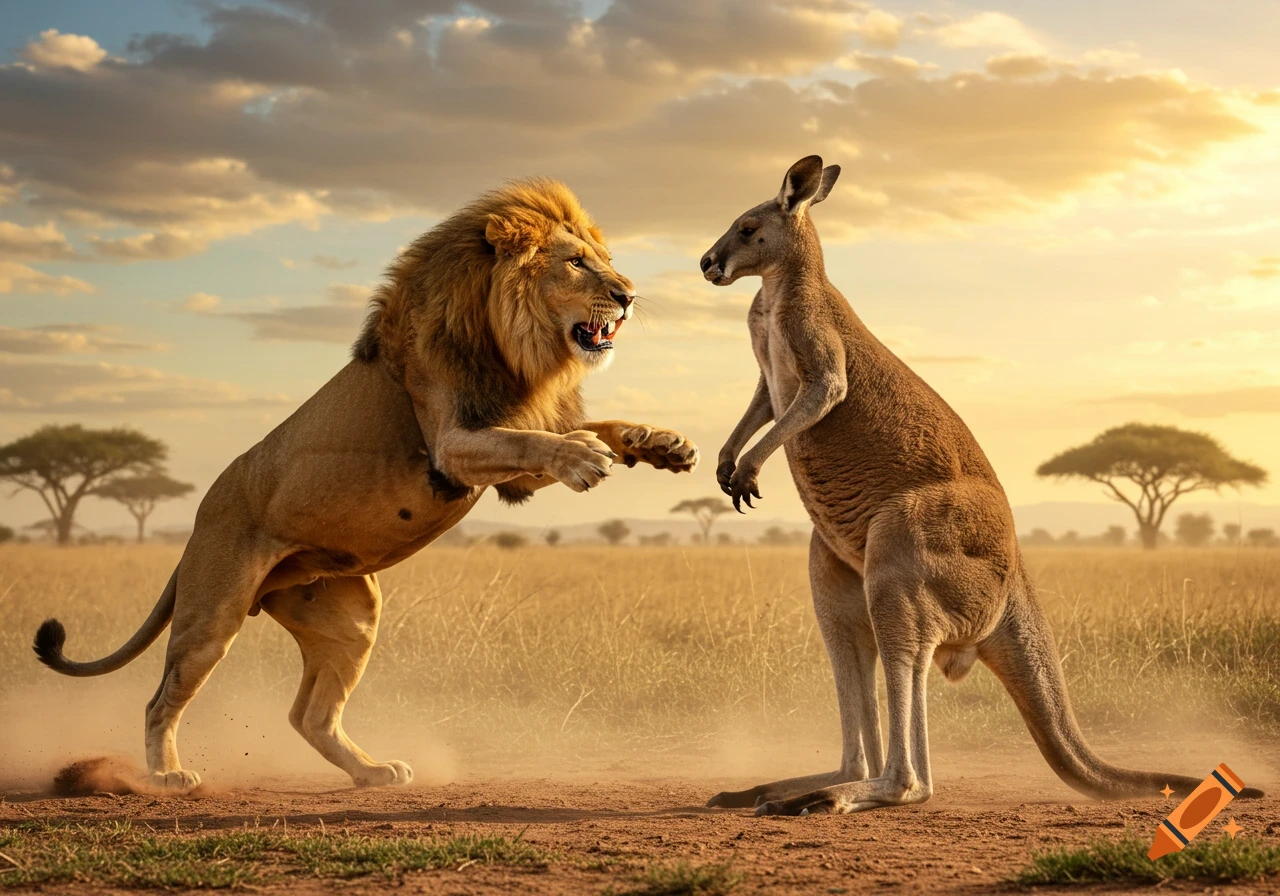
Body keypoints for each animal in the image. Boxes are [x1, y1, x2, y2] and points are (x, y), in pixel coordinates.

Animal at [33, 178, 699, 792]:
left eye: (604, 259)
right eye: (576, 262)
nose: (628, 296)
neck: (514, 344)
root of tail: (197, 524)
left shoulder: (510, 444)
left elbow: (590, 426)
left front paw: (659, 442)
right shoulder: (453, 447)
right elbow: (534, 441)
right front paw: (583, 456)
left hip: (350, 618)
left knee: (309, 716)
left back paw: (373, 772)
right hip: (213, 613)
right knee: (161, 697)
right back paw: (168, 775)